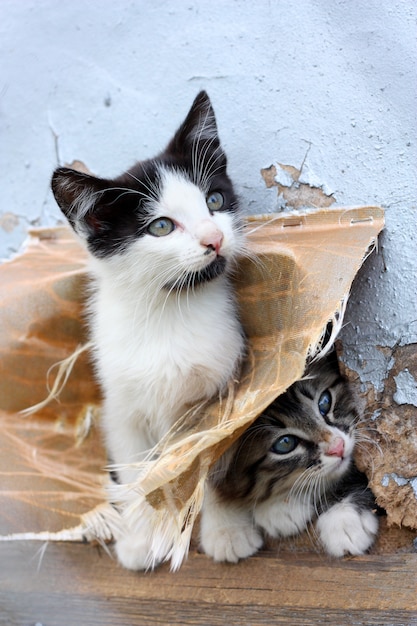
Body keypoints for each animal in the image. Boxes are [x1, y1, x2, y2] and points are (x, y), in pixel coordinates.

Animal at [52, 94, 247, 572]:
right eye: (161, 226)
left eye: (215, 199)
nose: (215, 238)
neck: (169, 312)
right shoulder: (120, 407)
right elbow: (136, 472)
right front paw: (140, 542)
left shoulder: (226, 395)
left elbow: (216, 462)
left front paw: (227, 532)